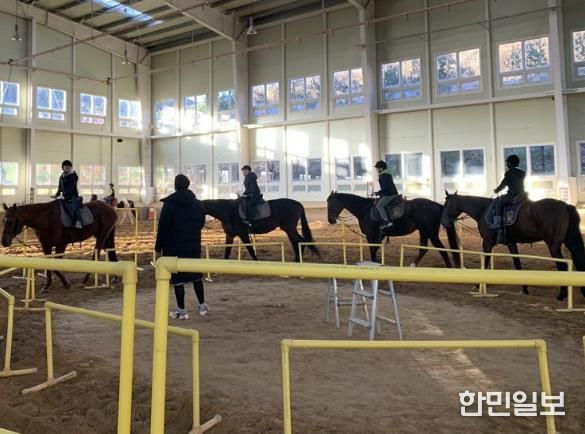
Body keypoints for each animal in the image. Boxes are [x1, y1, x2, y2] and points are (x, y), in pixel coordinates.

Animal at [327, 191, 460, 267]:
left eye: (331, 203)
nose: (330, 220)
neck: (365, 210)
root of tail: (438, 205)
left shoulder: (371, 235)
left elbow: (373, 251)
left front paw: (375, 263)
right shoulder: (378, 236)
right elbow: (375, 250)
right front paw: (379, 262)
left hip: (431, 233)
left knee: (442, 250)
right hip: (424, 231)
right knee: (423, 249)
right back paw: (412, 265)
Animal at [441, 191, 585, 300]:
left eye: (447, 205)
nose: (444, 222)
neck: (483, 209)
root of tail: (565, 206)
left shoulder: (487, 242)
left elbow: (485, 262)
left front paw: (478, 285)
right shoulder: (511, 244)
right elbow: (517, 264)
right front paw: (524, 289)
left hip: (553, 245)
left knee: (562, 266)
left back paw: (561, 295)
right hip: (569, 242)